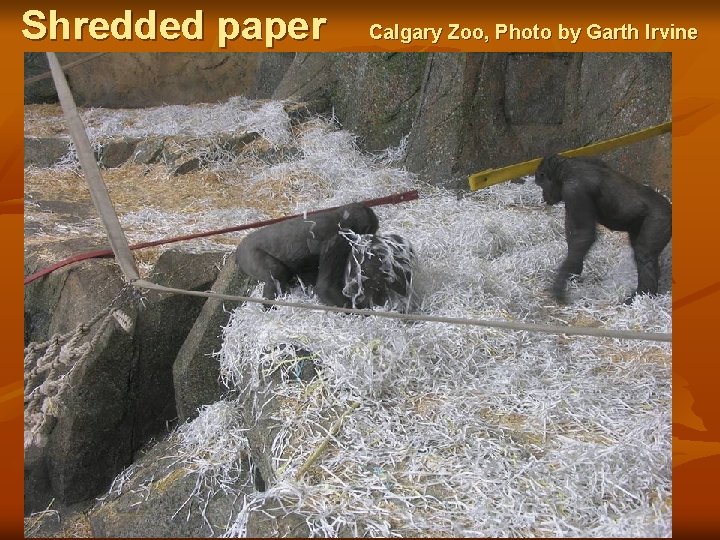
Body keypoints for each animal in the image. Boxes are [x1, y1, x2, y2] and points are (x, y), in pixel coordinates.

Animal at [238, 204, 382, 302]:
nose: (368, 242)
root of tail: (237, 250)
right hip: (247, 254)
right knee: (276, 271)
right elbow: (325, 287)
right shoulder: (337, 241)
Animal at [532, 153, 672, 304]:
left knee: (645, 254)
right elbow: (574, 232)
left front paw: (559, 285)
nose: (544, 196)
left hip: (660, 218)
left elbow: (584, 234)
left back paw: (641, 295)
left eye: (541, 185)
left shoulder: (574, 191)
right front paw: (573, 272)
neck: (566, 170)